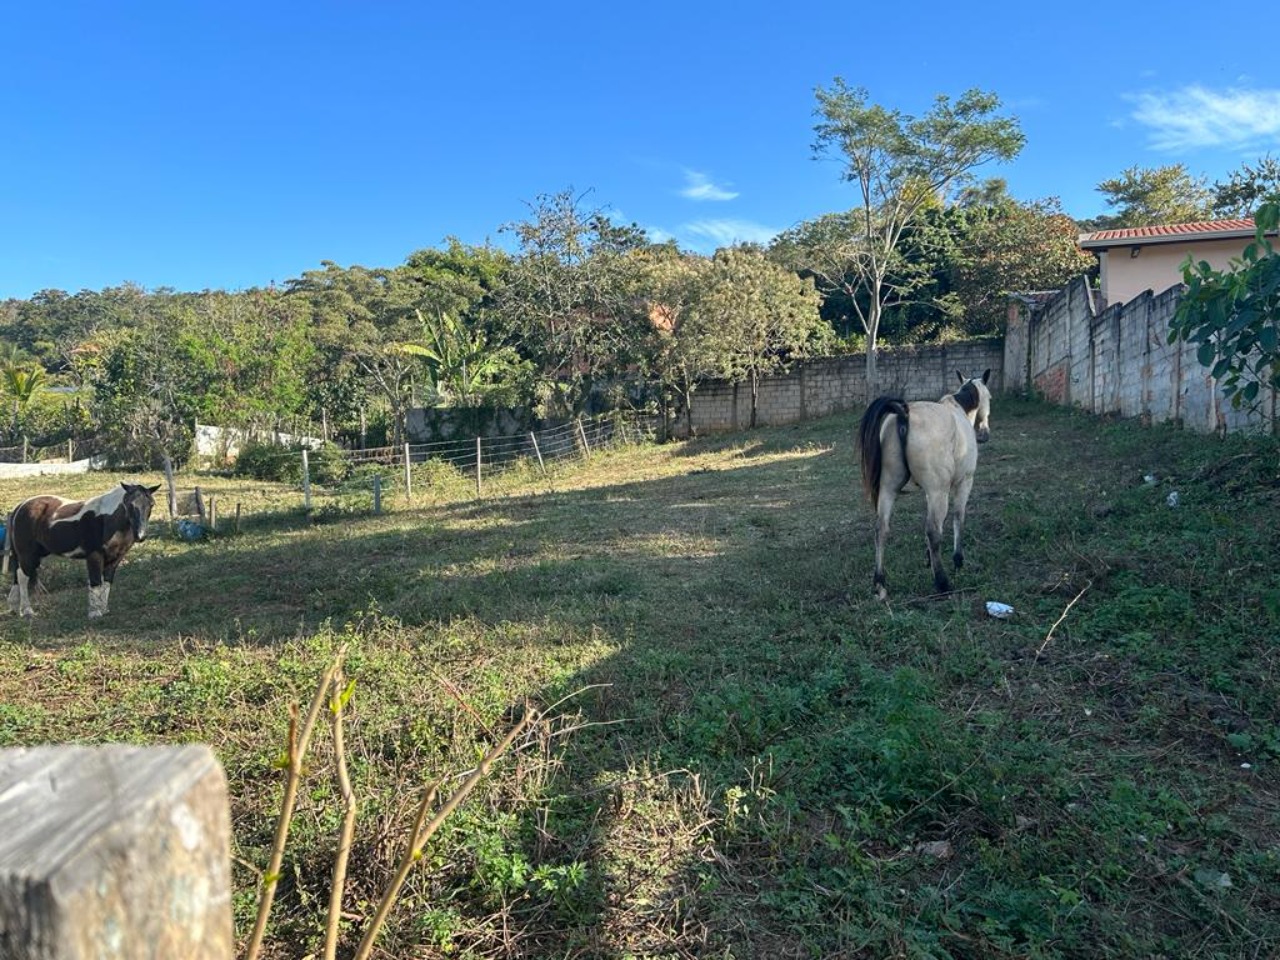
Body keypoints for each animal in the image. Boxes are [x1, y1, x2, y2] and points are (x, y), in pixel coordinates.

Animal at [5, 483, 160, 619]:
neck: (106, 519)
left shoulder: (115, 558)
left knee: (17, 575)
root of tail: (20, 507)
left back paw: (14, 608)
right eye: (129, 504)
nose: (140, 535)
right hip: (27, 555)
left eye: (151, 504)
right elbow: (96, 581)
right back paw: (27, 611)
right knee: (23, 577)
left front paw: (104, 609)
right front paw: (94, 613)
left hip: (34, 555)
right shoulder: (94, 556)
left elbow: (107, 583)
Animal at [855, 371, 993, 601]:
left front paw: (929, 559)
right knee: (932, 531)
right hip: (938, 491)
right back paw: (942, 583)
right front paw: (957, 560)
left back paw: (880, 583)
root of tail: (904, 414)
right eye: (989, 397)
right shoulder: (962, 483)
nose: (984, 433)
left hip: (889, 489)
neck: (958, 409)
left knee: (881, 529)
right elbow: (958, 518)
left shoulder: (931, 494)